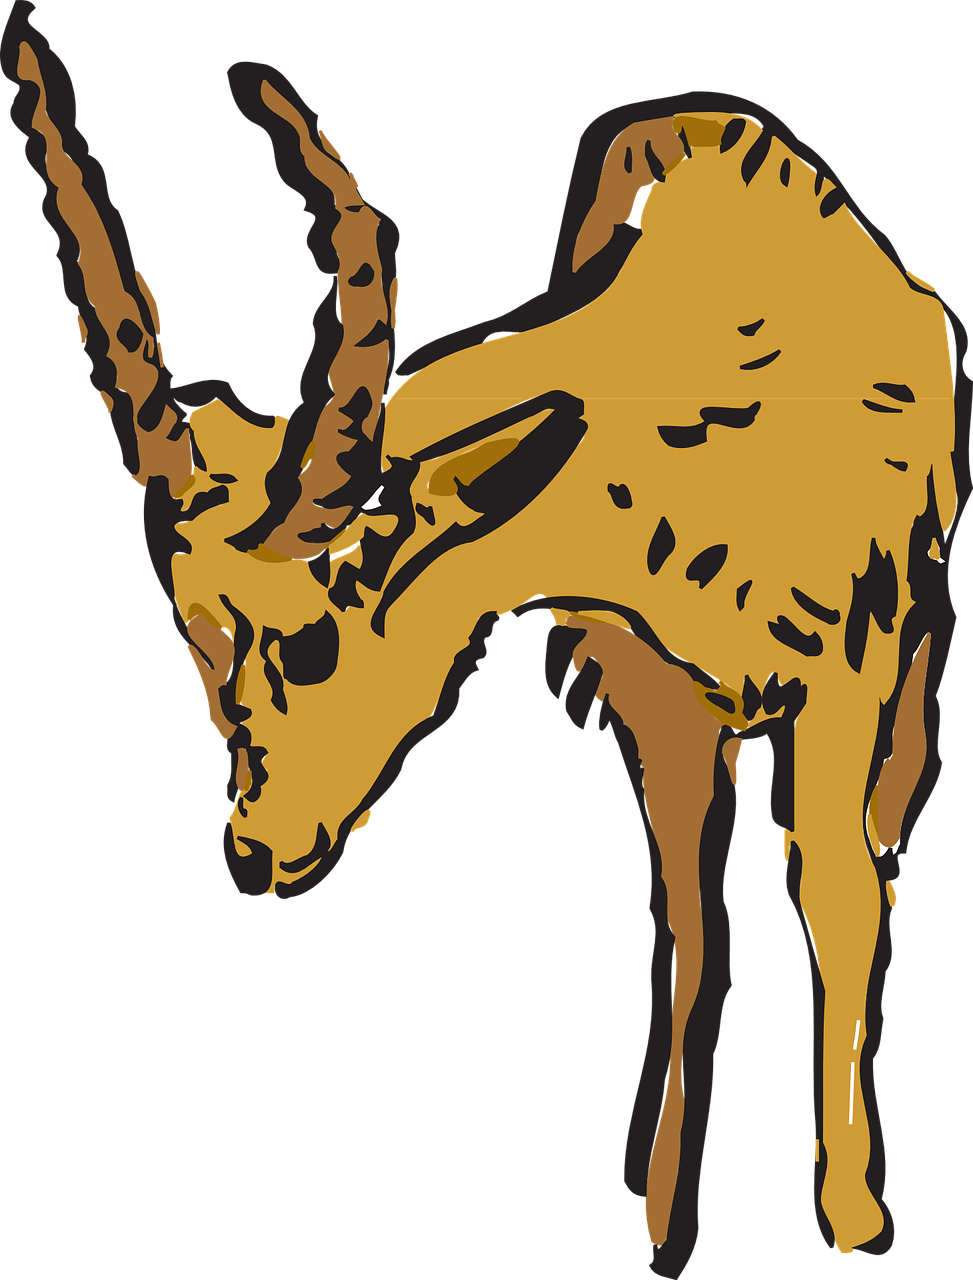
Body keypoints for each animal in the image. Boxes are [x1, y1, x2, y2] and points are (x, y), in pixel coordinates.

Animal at [4, 4, 969, 1275]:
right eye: (199, 644)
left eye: (317, 635)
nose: (259, 849)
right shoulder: (656, 699)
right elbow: (689, 920)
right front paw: (662, 1223)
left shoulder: (842, 674)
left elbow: (836, 893)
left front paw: (852, 1221)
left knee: (887, 824)